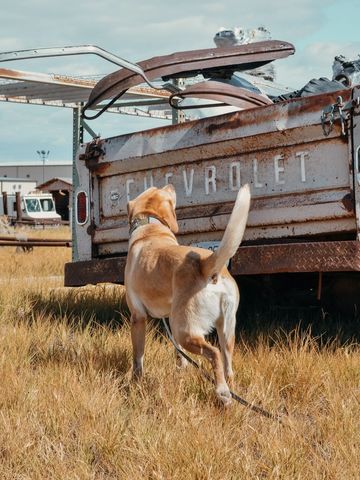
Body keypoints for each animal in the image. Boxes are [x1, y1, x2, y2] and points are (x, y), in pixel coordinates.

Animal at [124, 184, 250, 404]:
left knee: (214, 353)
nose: (171, 184)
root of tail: (205, 264)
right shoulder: (169, 318)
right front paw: (180, 371)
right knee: (228, 364)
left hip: (184, 330)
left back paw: (222, 392)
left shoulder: (138, 317)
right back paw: (230, 387)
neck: (150, 227)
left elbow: (138, 356)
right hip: (225, 330)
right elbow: (179, 355)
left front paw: (136, 381)